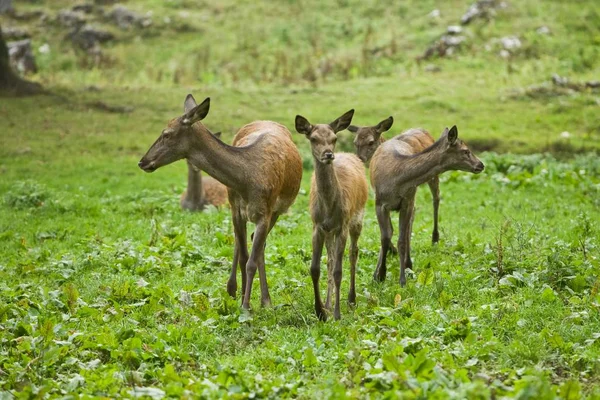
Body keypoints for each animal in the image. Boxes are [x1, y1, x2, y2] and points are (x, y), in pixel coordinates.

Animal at [138, 94, 302, 310]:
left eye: (166, 134)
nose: (142, 161)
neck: (247, 180)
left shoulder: (265, 212)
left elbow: (251, 261)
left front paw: (247, 307)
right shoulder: (236, 211)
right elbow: (243, 257)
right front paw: (242, 300)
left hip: (278, 210)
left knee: (259, 245)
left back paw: (266, 300)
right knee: (242, 244)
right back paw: (234, 289)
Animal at [294, 109, 368, 322]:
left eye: (334, 138)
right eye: (313, 138)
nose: (328, 154)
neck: (329, 208)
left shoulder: (342, 225)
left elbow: (338, 271)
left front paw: (336, 314)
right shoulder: (317, 226)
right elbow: (315, 268)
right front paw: (320, 311)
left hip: (357, 219)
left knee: (353, 253)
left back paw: (351, 300)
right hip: (330, 232)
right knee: (331, 259)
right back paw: (329, 303)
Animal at [350, 119, 442, 260]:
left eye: (371, 141)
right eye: (355, 142)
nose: (360, 158)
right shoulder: (379, 195)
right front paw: (392, 250)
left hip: (433, 175)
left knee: (436, 198)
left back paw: (435, 238)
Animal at [368, 126, 486, 286]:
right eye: (465, 151)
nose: (480, 165)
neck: (396, 180)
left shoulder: (407, 202)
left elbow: (401, 241)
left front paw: (402, 280)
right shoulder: (379, 204)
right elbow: (384, 238)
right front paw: (380, 275)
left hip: (413, 198)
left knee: (408, 227)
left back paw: (409, 265)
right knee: (391, 232)